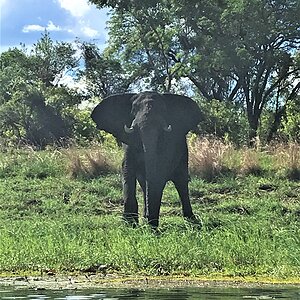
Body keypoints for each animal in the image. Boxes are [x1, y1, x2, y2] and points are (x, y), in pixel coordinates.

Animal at [91, 91, 202, 227]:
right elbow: (127, 172)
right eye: (133, 109)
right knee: (145, 184)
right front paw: (130, 224)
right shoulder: (129, 145)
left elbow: (158, 176)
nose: (149, 221)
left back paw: (191, 220)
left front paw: (150, 224)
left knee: (181, 182)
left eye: (163, 109)